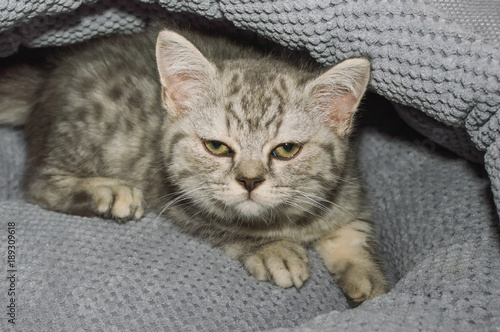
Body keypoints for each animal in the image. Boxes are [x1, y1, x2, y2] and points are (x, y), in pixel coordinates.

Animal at [0, 27, 390, 304]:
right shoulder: (174, 195)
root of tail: (46, 82)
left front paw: (369, 280)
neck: (286, 220)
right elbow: (226, 227)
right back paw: (106, 190)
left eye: (286, 149)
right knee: (38, 183)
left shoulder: (347, 191)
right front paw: (272, 249)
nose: (250, 181)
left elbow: (354, 233)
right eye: (217, 147)